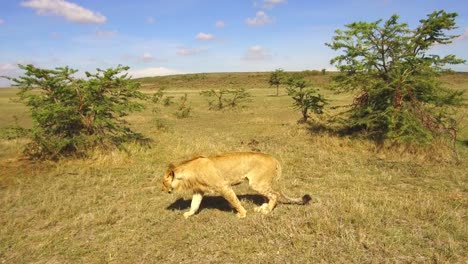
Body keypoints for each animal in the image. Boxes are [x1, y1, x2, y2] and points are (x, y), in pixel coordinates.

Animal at [161, 153, 310, 219]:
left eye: (163, 182)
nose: (161, 189)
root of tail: (273, 158)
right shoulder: (198, 191)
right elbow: (194, 204)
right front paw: (189, 214)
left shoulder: (223, 186)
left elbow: (234, 200)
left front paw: (242, 213)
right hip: (261, 184)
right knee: (270, 195)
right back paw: (262, 207)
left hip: (256, 183)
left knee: (275, 195)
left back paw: (267, 211)